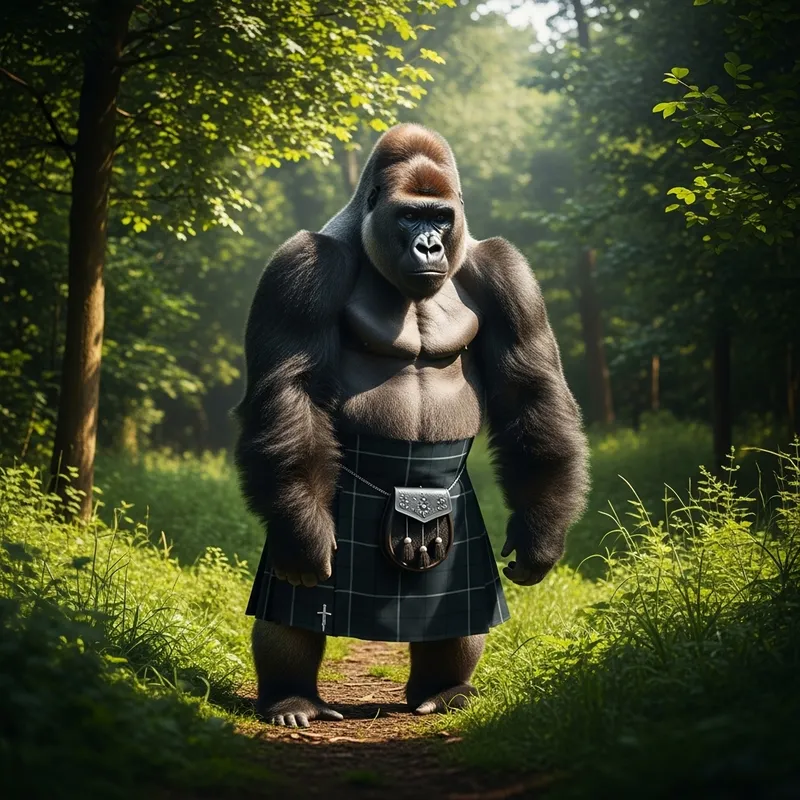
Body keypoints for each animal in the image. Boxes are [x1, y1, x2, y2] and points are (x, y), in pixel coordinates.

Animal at [234, 124, 589, 728]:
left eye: (440, 217)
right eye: (409, 217)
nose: (429, 245)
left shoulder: (508, 271)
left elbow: (530, 391)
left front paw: (541, 533)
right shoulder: (302, 265)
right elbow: (293, 392)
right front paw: (304, 537)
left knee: (460, 616)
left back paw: (446, 688)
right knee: (292, 604)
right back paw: (290, 696)